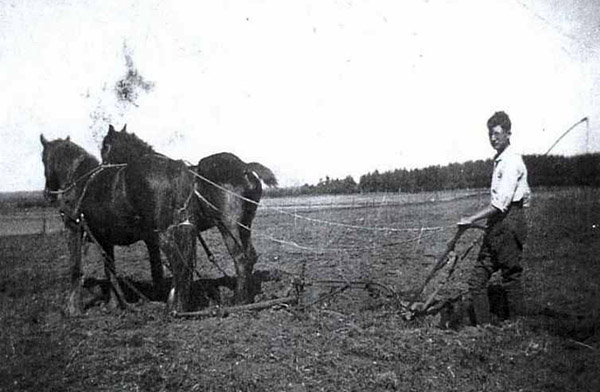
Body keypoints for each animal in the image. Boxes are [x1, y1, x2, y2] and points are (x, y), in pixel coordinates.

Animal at [41, 135, 196, 316]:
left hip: (163, 233)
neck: (78, 181)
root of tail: (173, 167)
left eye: (43, 158)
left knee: (178, 261)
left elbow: (75, 268)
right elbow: (110, 270)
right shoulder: (104, 239)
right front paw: (114, 304)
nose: (47, 194)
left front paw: (73, 309)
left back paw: (175, 306)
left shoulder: (73, 229)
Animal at [101, 125, 278, 304]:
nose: (102, 168)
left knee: (241, 258)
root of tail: (245, 167)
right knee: (251, 256)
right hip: (245, 224)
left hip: (228, 225)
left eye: (106, 146)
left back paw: (239, 300)